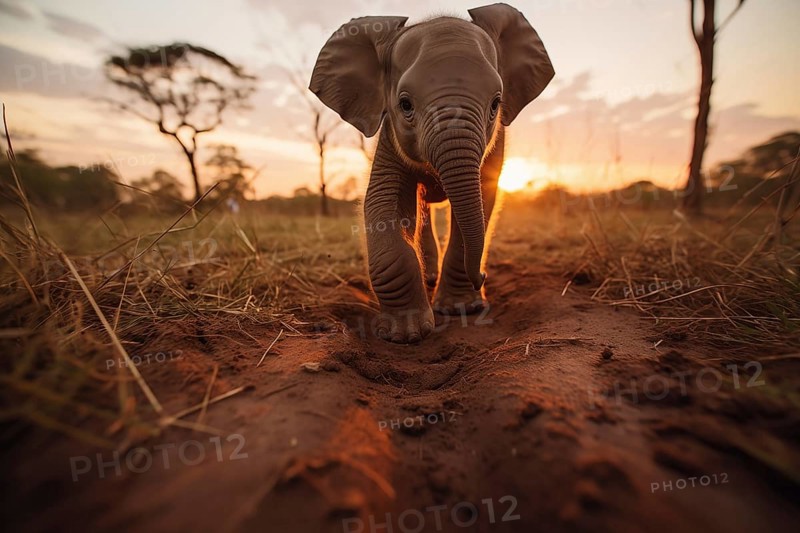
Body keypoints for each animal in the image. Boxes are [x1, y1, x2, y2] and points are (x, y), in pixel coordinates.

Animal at [309, 3, 554, 343]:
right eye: (405, 104)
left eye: (496, 104)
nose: (482, 276)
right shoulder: (389, 134)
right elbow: (383, 202)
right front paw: (405, 334)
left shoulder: (497, 140)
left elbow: (483, 197)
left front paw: (462, 310)